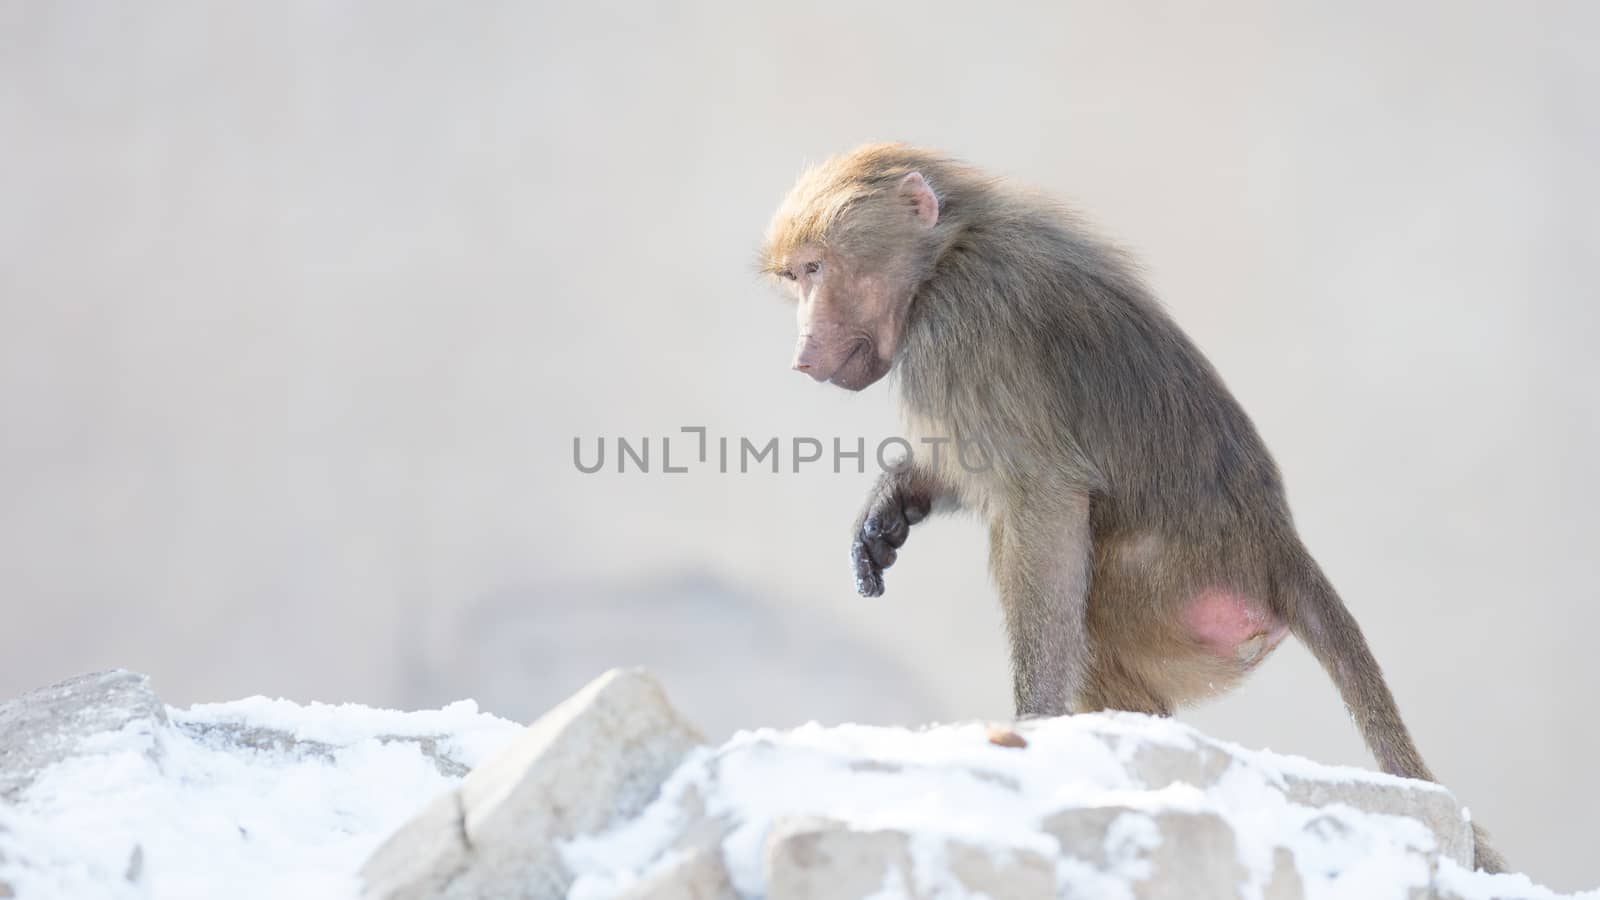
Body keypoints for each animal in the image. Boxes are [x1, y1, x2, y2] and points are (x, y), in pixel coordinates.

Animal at [755, 141, 1504, 871]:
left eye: (817, 268)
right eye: (795, 278)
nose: (801, 356)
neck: (949, 250)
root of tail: (1274, 544)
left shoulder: (961, 331)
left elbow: (1043, 500)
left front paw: (1034, 723)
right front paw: (892, 510)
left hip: (1167, 595)